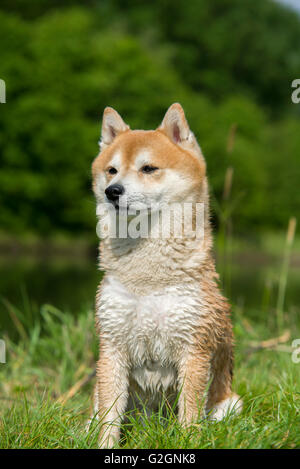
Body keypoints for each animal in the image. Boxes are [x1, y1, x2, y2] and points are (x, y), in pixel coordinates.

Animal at [91, 102, 241, 446]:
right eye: (112, 170)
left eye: (148, 168)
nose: (111, 191)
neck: (148, 279)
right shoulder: (112, 348)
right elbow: (108, 418)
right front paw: (105, 445)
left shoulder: (193, 350)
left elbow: (189, 413)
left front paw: (187, 442)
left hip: (230, 404)